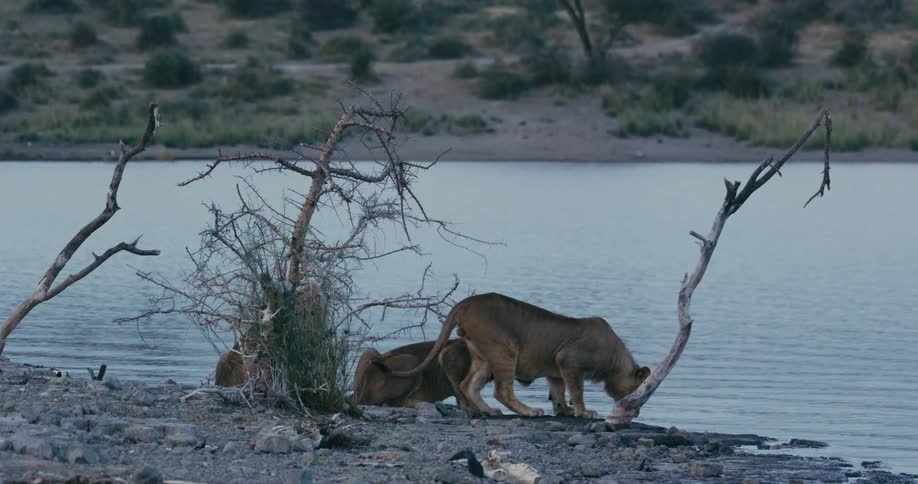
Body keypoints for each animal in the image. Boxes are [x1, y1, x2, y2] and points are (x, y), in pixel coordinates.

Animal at [389, 293, 651, 418]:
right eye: (638, 393)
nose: (637, 413)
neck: (615, 359)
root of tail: (465, 303)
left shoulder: (556, 368)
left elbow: (559, 391)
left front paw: (563, 410)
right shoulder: (569, 359)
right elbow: (576, 391)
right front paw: (583, 412)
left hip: (483, 354)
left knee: (468, 384)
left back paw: (488, 410)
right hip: (505, 350)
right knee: (502, 391)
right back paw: (528, 411)